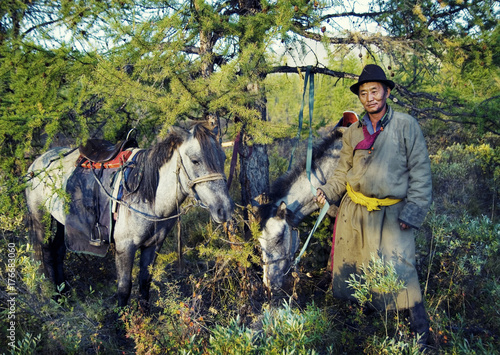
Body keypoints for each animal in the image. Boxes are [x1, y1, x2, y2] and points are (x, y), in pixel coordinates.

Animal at [23, 123, 234, 308]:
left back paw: (63, 295)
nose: (225, 209)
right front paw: (121, 322)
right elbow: (124, 288)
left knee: (58, 252)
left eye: (223, 158)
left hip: (61, 222)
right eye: (195, 160)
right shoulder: (125, 247)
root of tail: (37, 163)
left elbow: (144, 283)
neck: (149, 197)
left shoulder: (153, 245)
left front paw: (144, 317)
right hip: (41, 219)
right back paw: (53, 297)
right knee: (46, 254)